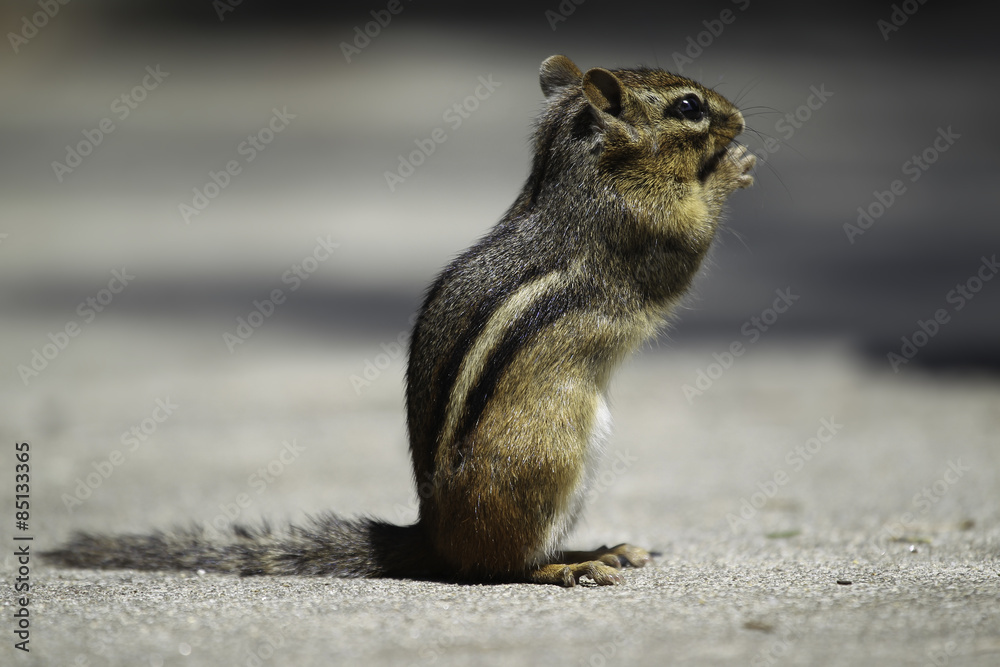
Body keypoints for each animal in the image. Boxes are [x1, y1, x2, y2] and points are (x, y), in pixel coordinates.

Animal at [43, 55, 754, 587]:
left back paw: (599, 550)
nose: (742, 118)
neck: (581, 172)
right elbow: (686, 251)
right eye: (689, 107)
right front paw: (729, 170)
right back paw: (569, 568)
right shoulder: (644, 228)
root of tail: (433, 538)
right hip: (550, 451)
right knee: (498, 566)